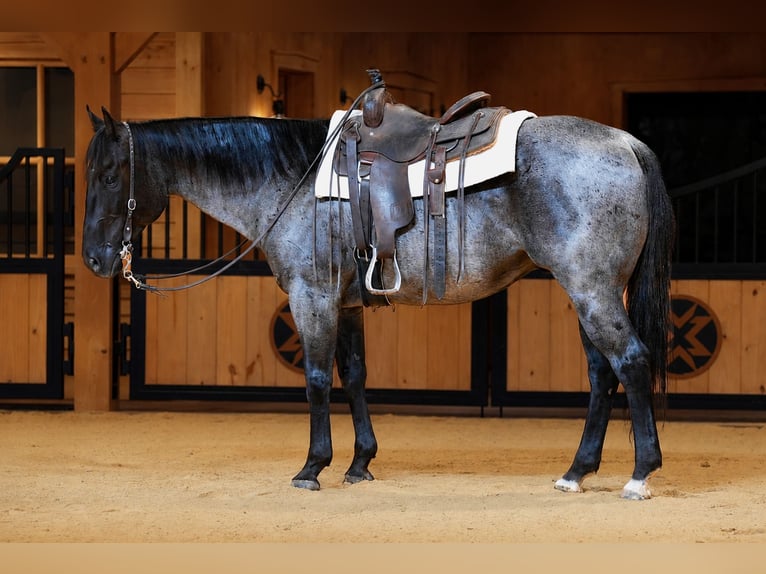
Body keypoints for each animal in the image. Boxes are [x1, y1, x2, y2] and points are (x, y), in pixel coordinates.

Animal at [82, 88, 674, 500]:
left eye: (110, 176)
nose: (92, 259)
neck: (294, 179)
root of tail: (626, 141)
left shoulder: (313, 297)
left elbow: (318, 380)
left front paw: (312, 467)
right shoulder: (345, 305)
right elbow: (355, 376)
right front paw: (359, 463)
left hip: (593, 290)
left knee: (631, 362)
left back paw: (640, 474)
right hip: (585, 292)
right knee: (602, 374)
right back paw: (576, 472)